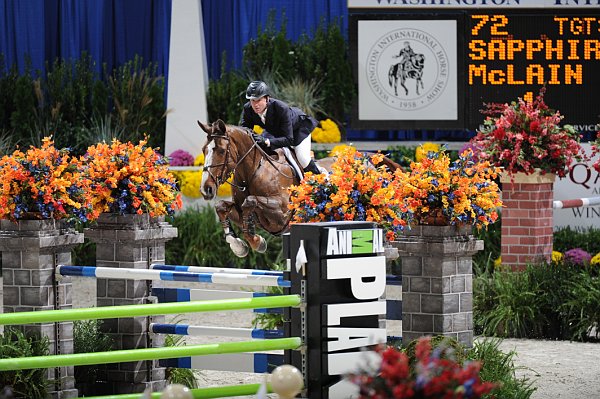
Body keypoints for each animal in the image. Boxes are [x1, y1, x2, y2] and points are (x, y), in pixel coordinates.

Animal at [200, 119, 404, 258]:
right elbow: (222, 207)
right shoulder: (242, 210)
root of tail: (367, 160)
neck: (254, 171)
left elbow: (251, 203)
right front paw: (238, 246)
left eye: (220, 151)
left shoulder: (282, 214)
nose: (206, 189)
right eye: (204, 150)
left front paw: (257, 242)